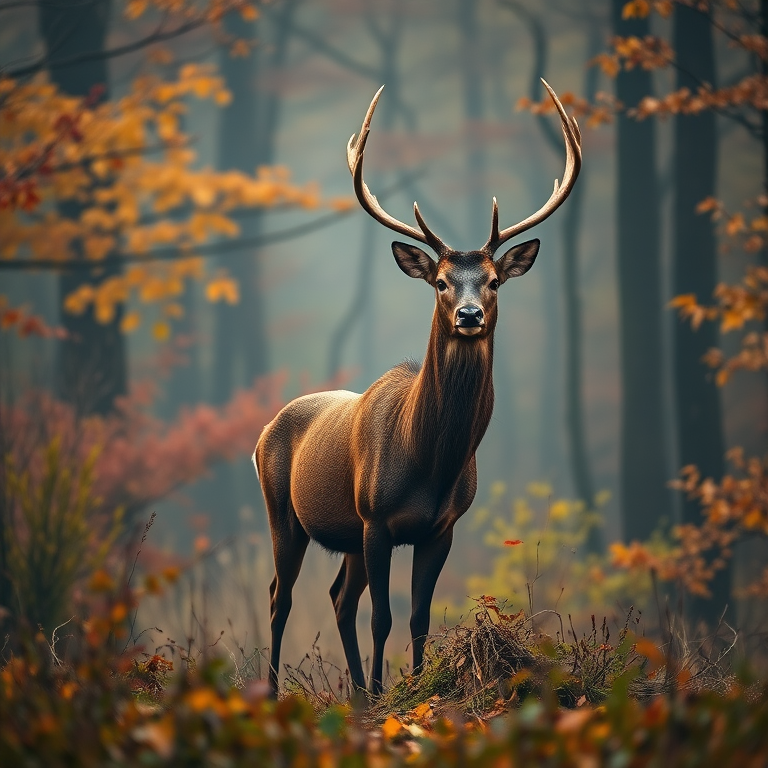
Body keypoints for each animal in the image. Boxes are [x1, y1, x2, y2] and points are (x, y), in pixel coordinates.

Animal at [253, 80, 581, 696]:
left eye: (494, 280)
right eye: (441, 282)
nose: (471, 315)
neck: (429, 459)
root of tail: (263, 432)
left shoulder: (441, 528)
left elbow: (418, 616)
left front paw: (411, 687)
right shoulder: (377, 518)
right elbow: (382, 616)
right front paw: (389, 693)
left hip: (346, 535)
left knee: (337, 597)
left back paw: (358, 694)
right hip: (284, 510)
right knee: (280, 597)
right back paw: (275, 689)